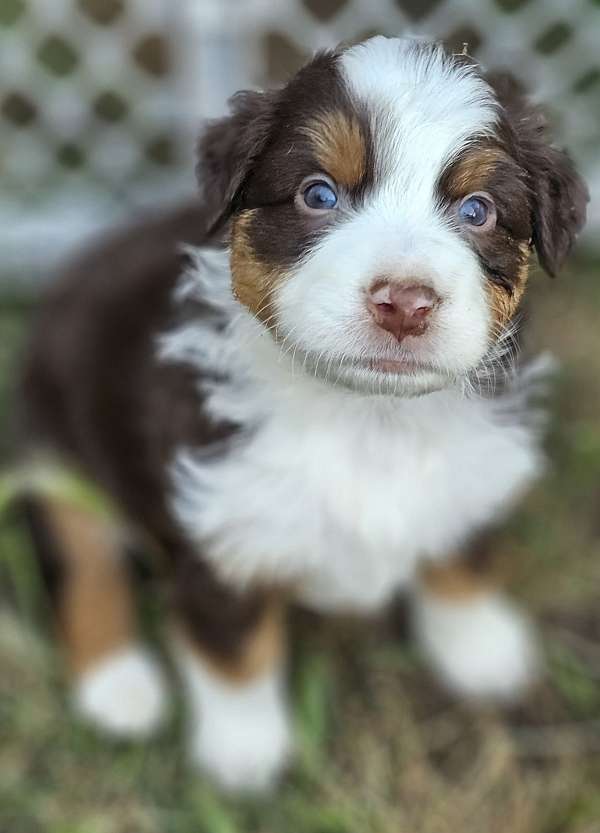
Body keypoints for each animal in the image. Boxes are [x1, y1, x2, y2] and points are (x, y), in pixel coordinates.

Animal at [17, 35, 584, 788]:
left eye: (479, 211)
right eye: (318, 194)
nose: (404, 303)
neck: (368, 419)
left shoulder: (478, 467)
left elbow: (462, 550)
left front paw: (481, 646)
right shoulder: (220, 528)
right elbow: (235, 648)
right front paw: (244, 752)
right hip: (52, 439)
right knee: (80, 556)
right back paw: (120, 687)